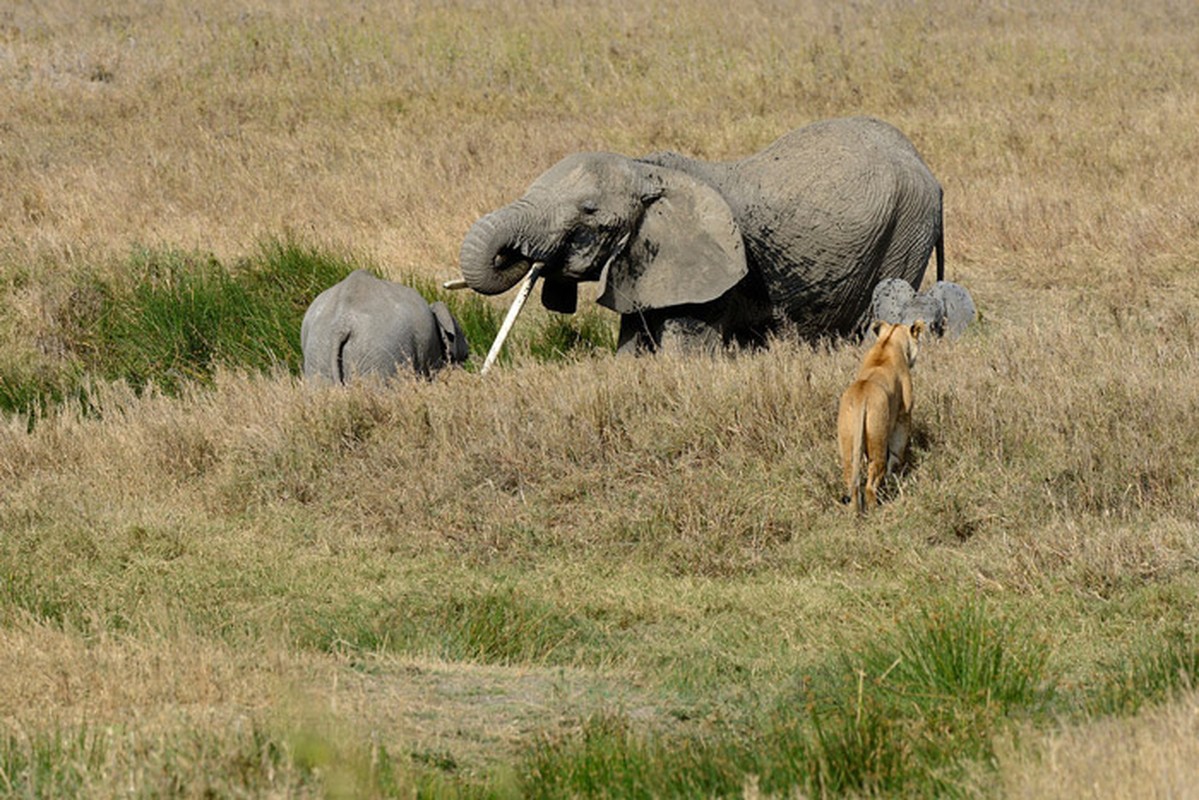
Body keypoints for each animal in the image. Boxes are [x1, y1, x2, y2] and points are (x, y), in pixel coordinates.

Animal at [460, 113, 944, 352]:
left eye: (588, 210)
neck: (647, 170)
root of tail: (926, 168)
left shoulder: (711, 276)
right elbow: (632, 343)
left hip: (905, 232)